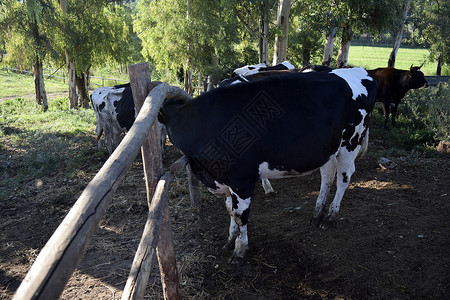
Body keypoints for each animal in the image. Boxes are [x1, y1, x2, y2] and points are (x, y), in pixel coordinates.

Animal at [160, 67, 378, 260]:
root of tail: (359, 71)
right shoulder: (225, 180)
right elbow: (229, 209)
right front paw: (230, 240)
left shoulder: (241, 178)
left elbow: (239, 215)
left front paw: (240, 250)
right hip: (328, 149)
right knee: (327, 176)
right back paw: (317, 214)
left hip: (350, 143)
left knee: (344, 177)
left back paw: (330, 217)